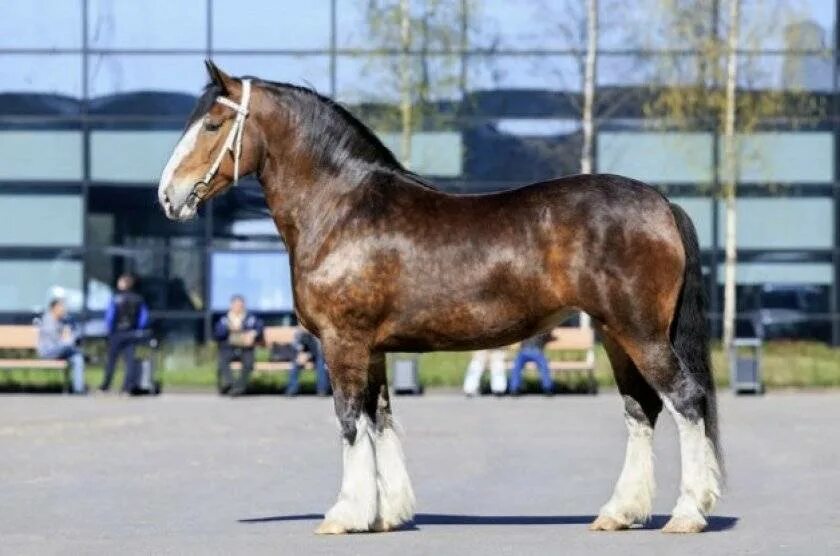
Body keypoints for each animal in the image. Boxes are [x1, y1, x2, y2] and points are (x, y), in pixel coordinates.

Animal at [158, 63, 720, 536]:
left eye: (212, 125)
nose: (168, 195)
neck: (342, 209)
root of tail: (661, 202)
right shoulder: (373, 350)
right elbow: (380, 419)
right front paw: (386, 514)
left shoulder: (343, 343)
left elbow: (349, 420)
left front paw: (345, 514)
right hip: (615, 335)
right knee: (641, 409)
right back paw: (619, 512)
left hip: (641, 333)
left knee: (685, 401)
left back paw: (688, 514)